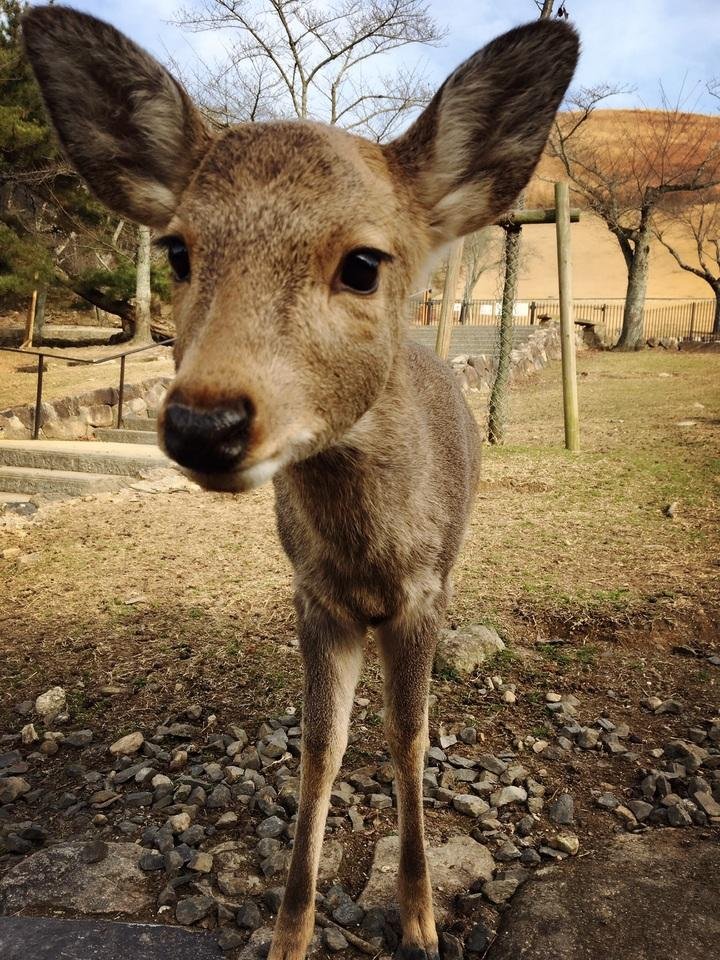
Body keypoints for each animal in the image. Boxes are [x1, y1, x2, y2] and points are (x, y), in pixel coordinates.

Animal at [23, 9, 580, 960]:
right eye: (178, 249)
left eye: (363, 263)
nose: (202, 422)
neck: (369, 556)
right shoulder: (313, 594)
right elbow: (321, 746)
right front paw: (291, 930)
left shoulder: (421, 592)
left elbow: (407, 736)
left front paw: (420, 920)